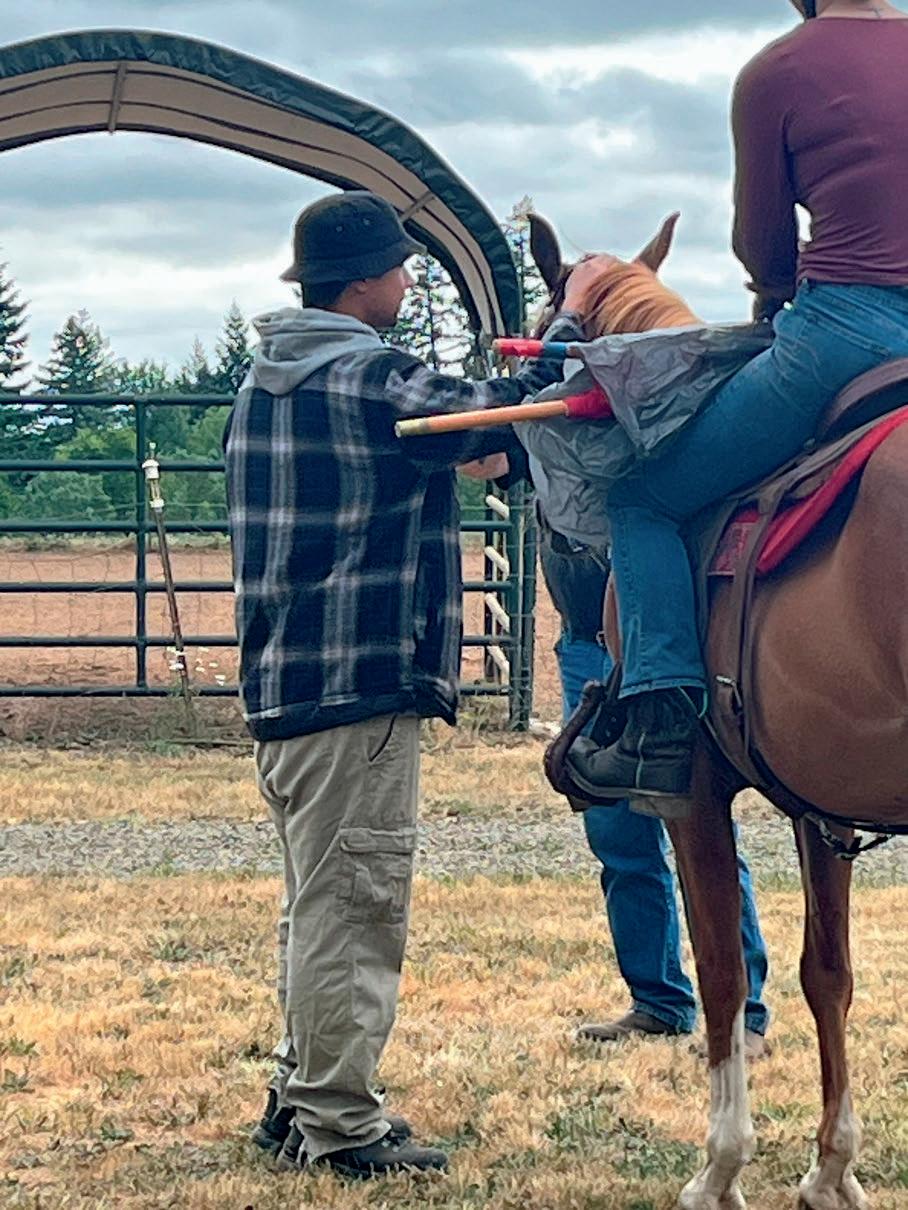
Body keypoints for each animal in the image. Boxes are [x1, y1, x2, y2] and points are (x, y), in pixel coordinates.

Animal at [528, 211, 908, 1210]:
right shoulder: (823, 802)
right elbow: (828, 974)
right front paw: (832, 1169)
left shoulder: (691, 795)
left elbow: (725, 978)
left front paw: (721, 1169)